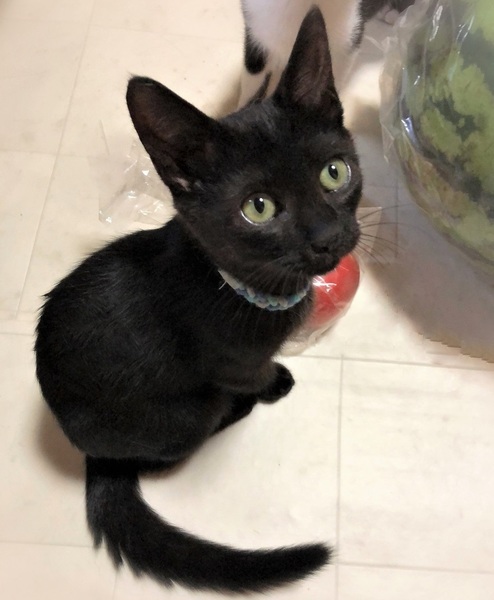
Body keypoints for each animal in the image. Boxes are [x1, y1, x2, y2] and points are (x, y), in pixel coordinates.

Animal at [35, 8, 362, 595]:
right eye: (258, 207)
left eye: (334, 172)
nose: (327, 236)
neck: (237, 285)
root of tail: (92, 456)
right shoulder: (233, 362)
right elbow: (254, 372)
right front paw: (274, 381)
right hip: (186, 412)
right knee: (175, 446)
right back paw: (237, 408)